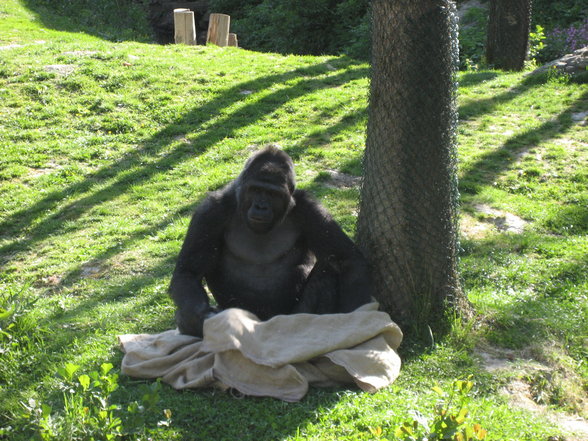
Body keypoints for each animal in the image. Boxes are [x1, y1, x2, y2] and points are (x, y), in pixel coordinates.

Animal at [169, 146, 372, 336]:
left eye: (273, 194)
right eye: (256, 190)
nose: (261, 207)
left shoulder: (310, 209)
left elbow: (347, 259)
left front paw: (355, 319)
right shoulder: (210, 212)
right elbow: (188, 272)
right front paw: (197, 318)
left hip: (290, 317)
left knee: (329, 267)